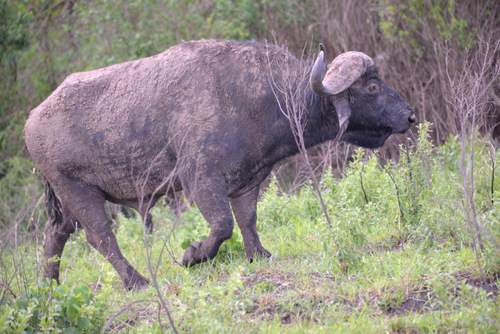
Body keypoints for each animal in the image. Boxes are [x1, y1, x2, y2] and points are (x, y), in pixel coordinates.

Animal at [23, 39, 414, 290]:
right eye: (372, 86)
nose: (410, 116)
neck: (260, 96)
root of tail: (33, 119)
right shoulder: (201, 178)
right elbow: (223, 225)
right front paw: (191, 256)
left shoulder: (248, 180)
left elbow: (247, 220)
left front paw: (259, 255)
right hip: (78, 190)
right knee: (101, 237)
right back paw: (137, 281)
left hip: (66, 201)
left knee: (55, 236)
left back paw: (48, 288)